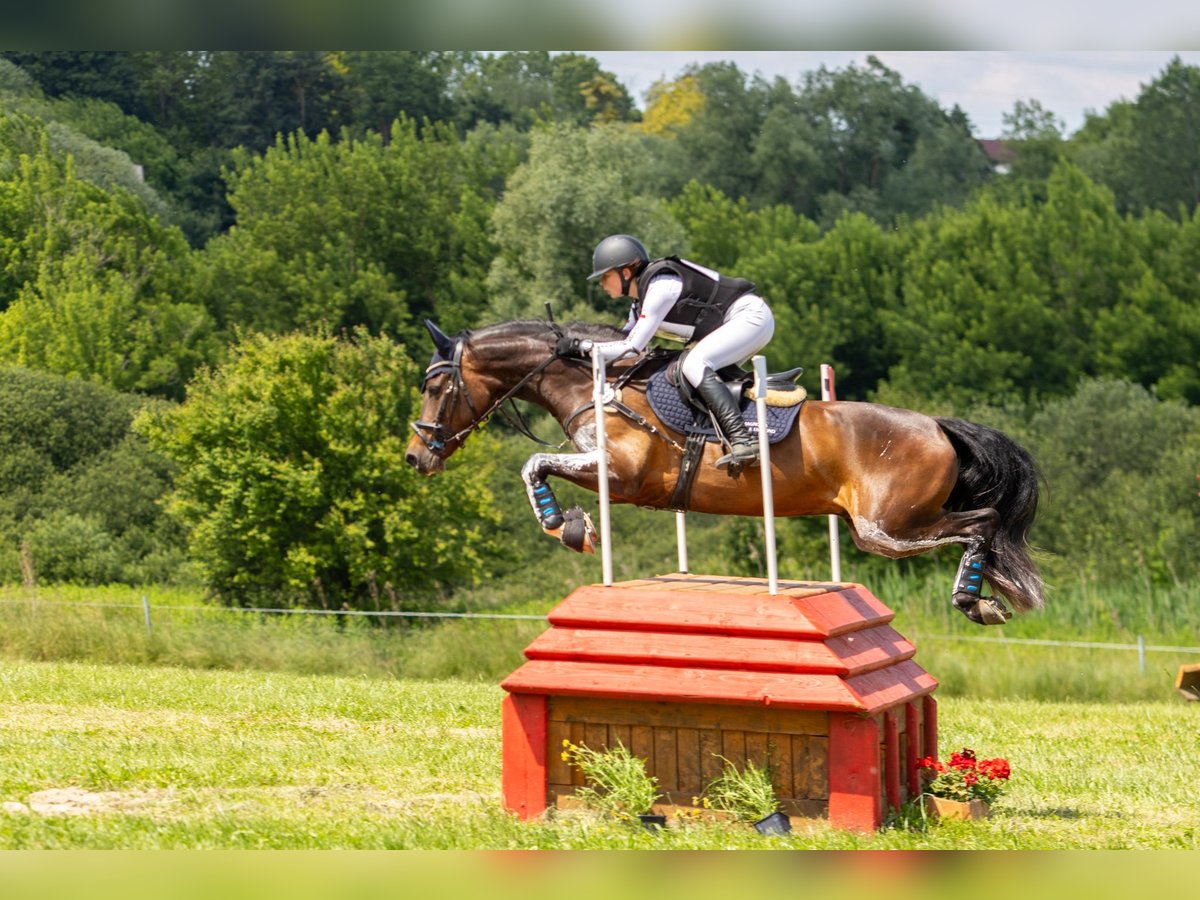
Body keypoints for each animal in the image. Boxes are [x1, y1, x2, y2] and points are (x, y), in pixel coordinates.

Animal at [403, 319, 1041, 628]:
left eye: (434, 386)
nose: (416, 457)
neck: (594, 387)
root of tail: (936, 425)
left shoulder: (622, 476)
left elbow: (533, 462)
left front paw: (569, 527)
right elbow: (536, 463)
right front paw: (573, 525)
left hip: (884, 529)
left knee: (983, 522)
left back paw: (972, 601)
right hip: (885, 528)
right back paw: (983, 598)